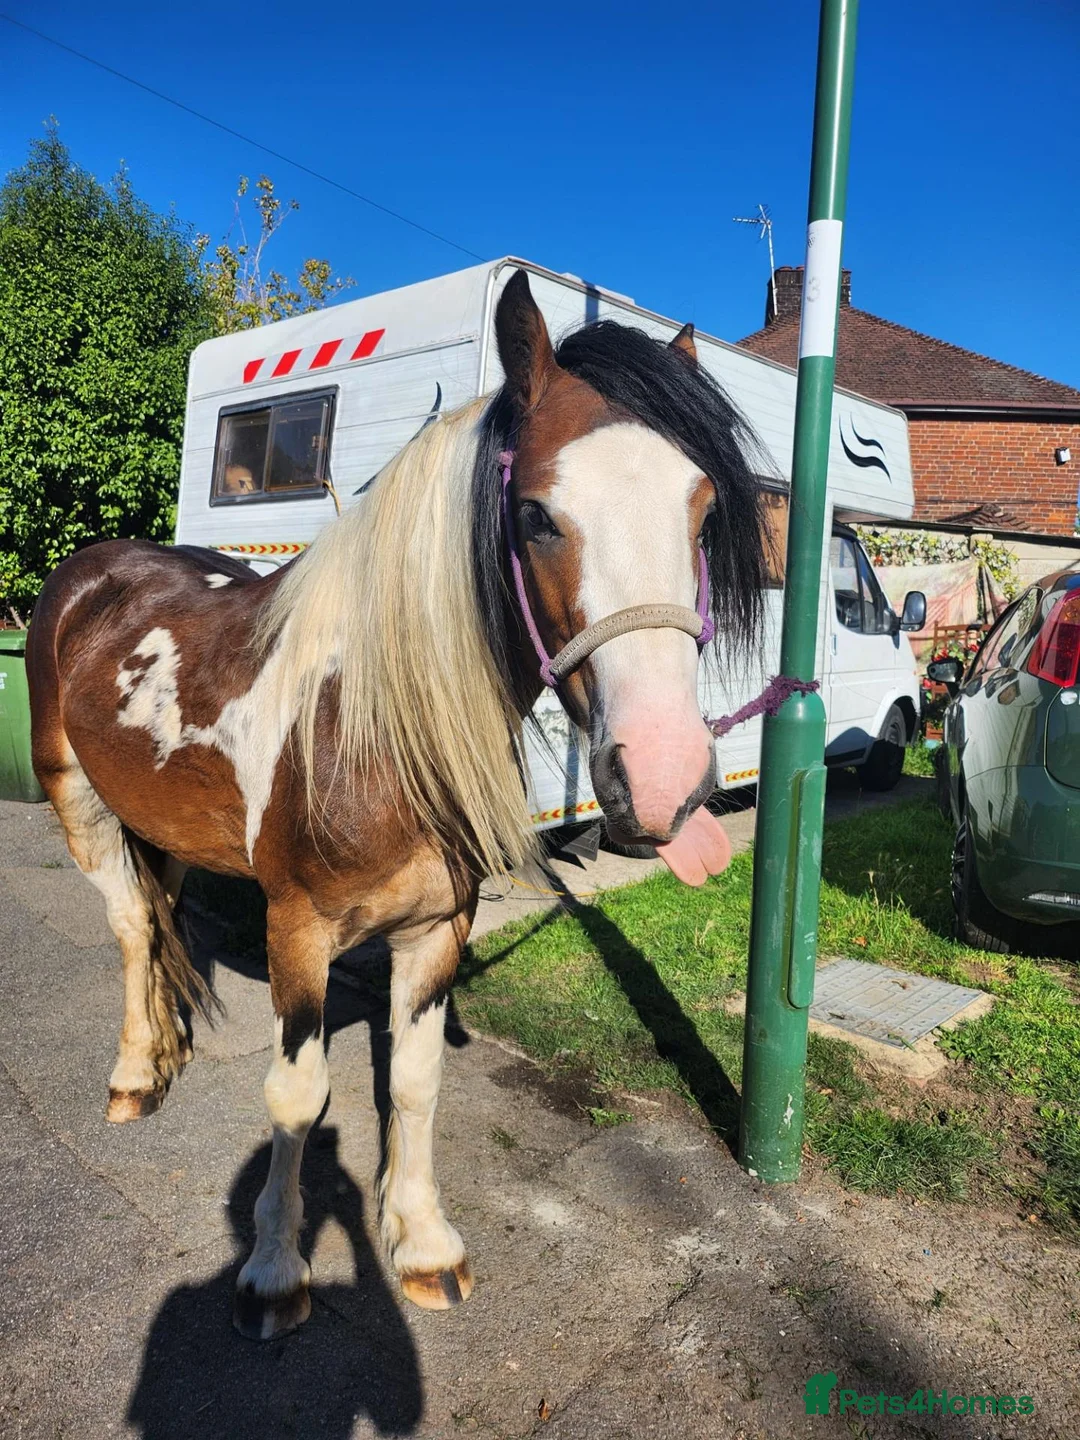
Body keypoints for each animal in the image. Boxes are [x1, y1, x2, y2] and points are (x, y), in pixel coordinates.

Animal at [26, 270, 767, 1339]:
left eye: (703, 513)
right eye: (536, 514)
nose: (668, 781)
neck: (374, 724)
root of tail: (95, 570)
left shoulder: (436, 930)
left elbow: (414, 1084)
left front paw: (421, 1244)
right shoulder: (297, 930)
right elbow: (297, 1095)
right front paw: (275, 1270)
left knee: (160, 922)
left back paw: (166, 1047)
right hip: (76, 798)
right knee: (131, 927)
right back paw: (135, 1075)